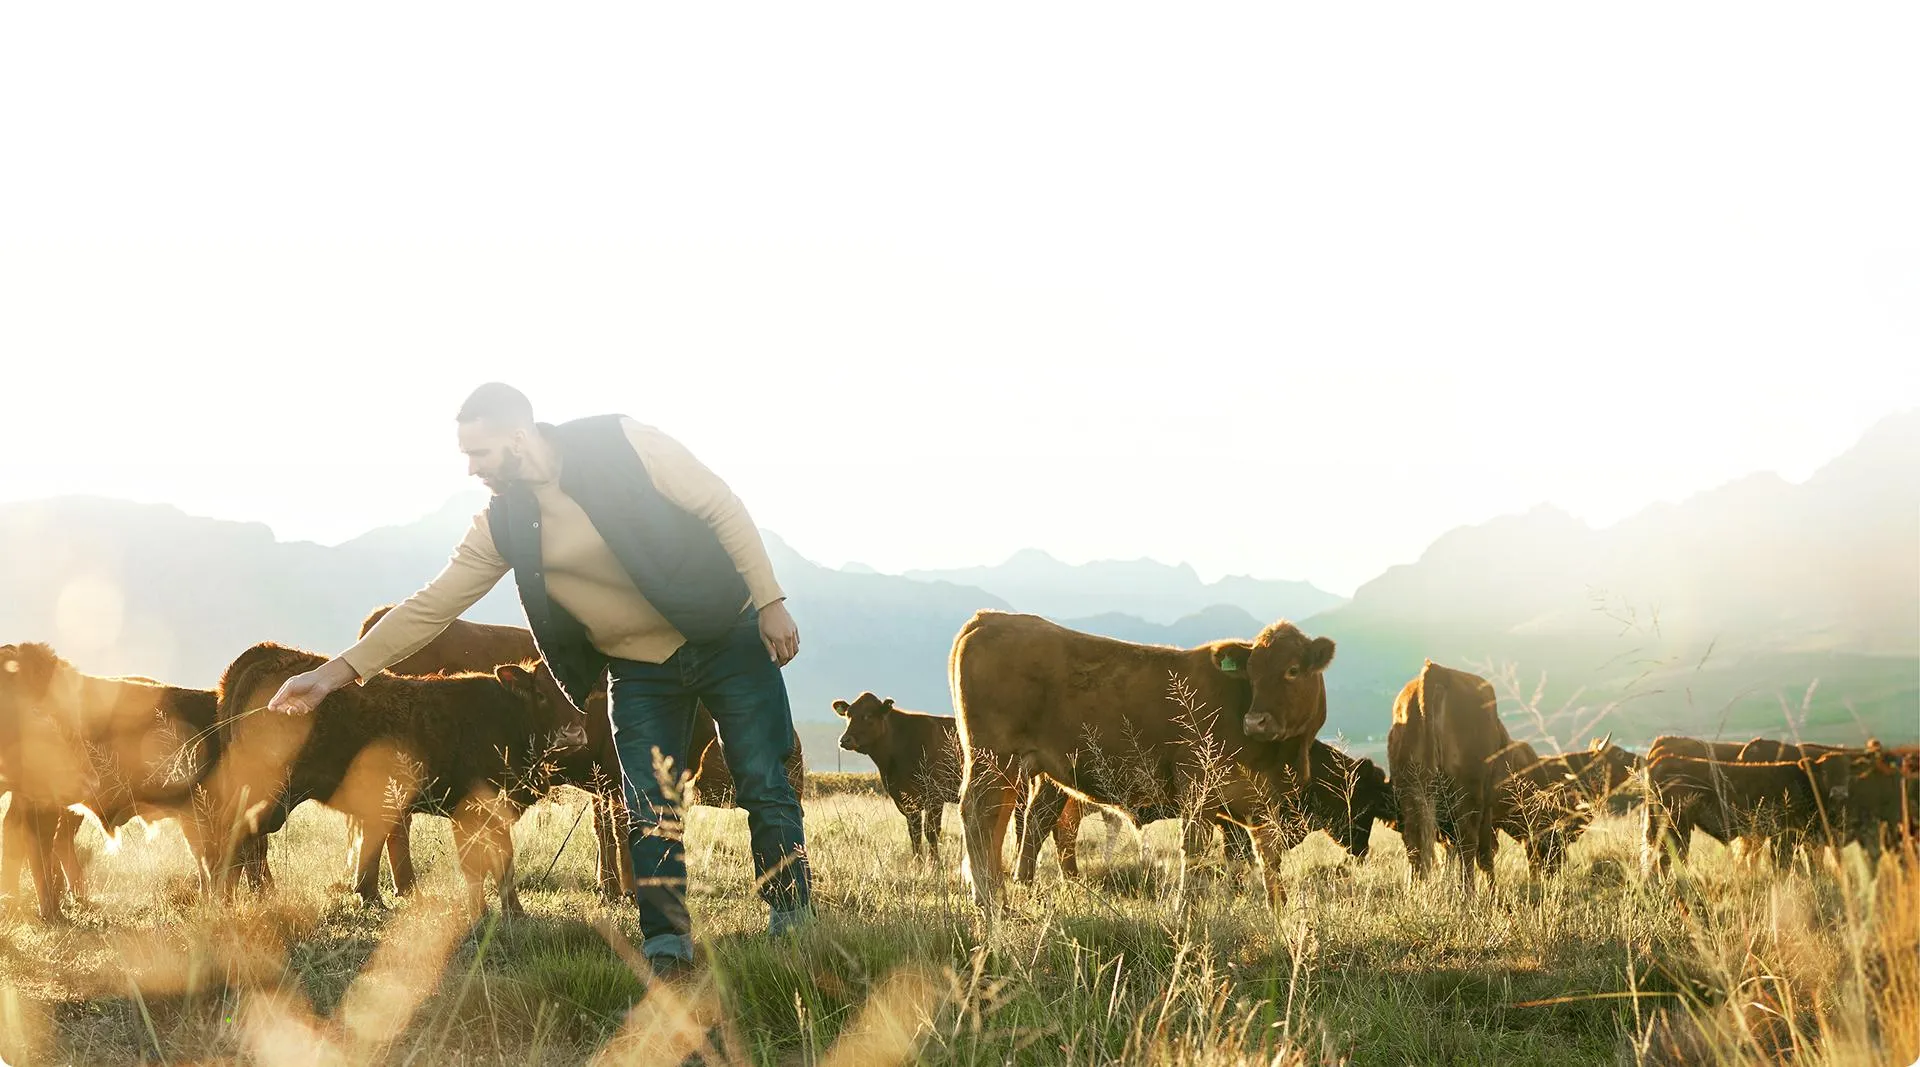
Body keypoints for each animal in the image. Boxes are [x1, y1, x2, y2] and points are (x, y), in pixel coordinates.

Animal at [199, 642, 571, 917]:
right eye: (541, 694)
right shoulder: (475, 809)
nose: (572, 734)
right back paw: (227, 902)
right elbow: (486, 863)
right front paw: (492, 914)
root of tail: (268, 652)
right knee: (238, 838)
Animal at [952, 611, 1335, 916]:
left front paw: (1278, 911)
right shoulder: (1197, 787)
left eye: (1293, 670)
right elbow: (1193, 849)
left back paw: (1008, 895)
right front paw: (1185, 910)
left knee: (1014, 822)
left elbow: (1268, 857)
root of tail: (989, 618)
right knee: (980, 816)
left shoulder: (1264, 805)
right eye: (1252, 674)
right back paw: (988, 899)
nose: (1255, 722)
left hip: (1021, 769)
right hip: (992, 758)